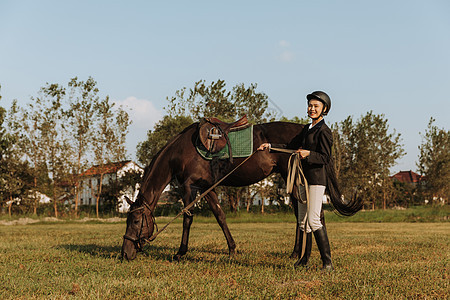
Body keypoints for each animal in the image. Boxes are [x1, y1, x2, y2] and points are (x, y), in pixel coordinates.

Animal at [120, 120, 362, 262]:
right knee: (301, 212)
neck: (182, 151)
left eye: (135, 221)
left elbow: (187, 219)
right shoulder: (207, 187)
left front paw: (181, 252)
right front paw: (232, 249)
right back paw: (296, 253)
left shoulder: (189, 187)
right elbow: (220, 216)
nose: (125, 253)